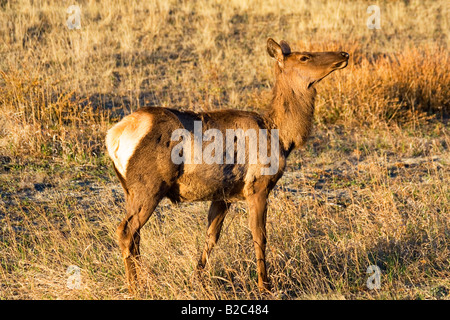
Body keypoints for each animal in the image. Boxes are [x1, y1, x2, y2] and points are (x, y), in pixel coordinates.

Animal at [105, 38, 348, 292]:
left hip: (130, 190)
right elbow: (259, 236)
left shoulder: (223, 195)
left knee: (135, 236)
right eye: (304, 57)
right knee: (126, 231)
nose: (344, 54)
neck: (281, 135)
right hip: (149, 186)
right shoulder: (257, 186)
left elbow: (211, 237)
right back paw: (135, 288)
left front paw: (197, 279)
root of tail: (114, 136)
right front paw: (265, 286)